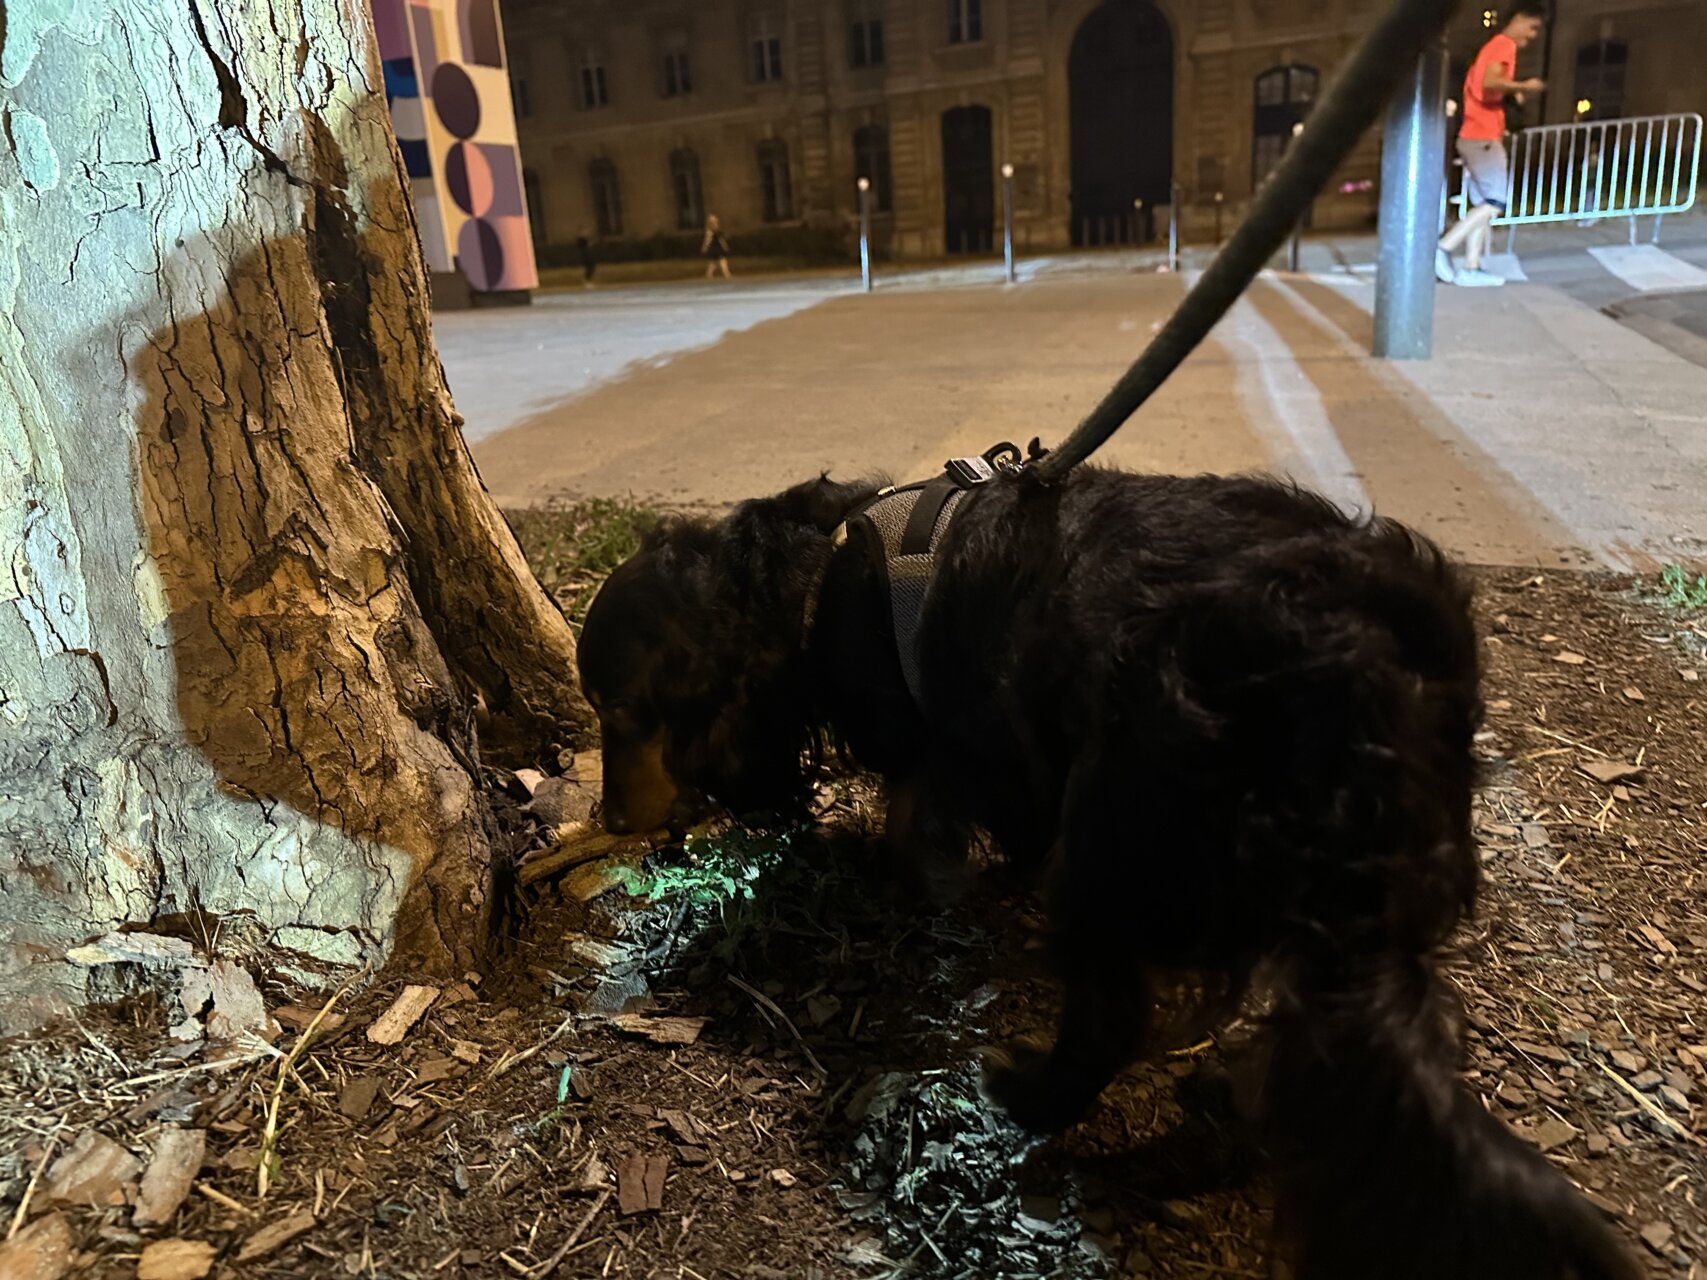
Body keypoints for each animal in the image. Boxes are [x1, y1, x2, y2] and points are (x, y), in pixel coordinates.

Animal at [583, 474, 1638, 1280]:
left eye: (620, 710)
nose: (607, 821)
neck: (812, 579)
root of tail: (1365, 671)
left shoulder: (949, 742)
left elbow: (919, 822)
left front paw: (900, 878)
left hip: (1108, 839)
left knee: (1111, 1022)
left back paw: (1031, 1099)